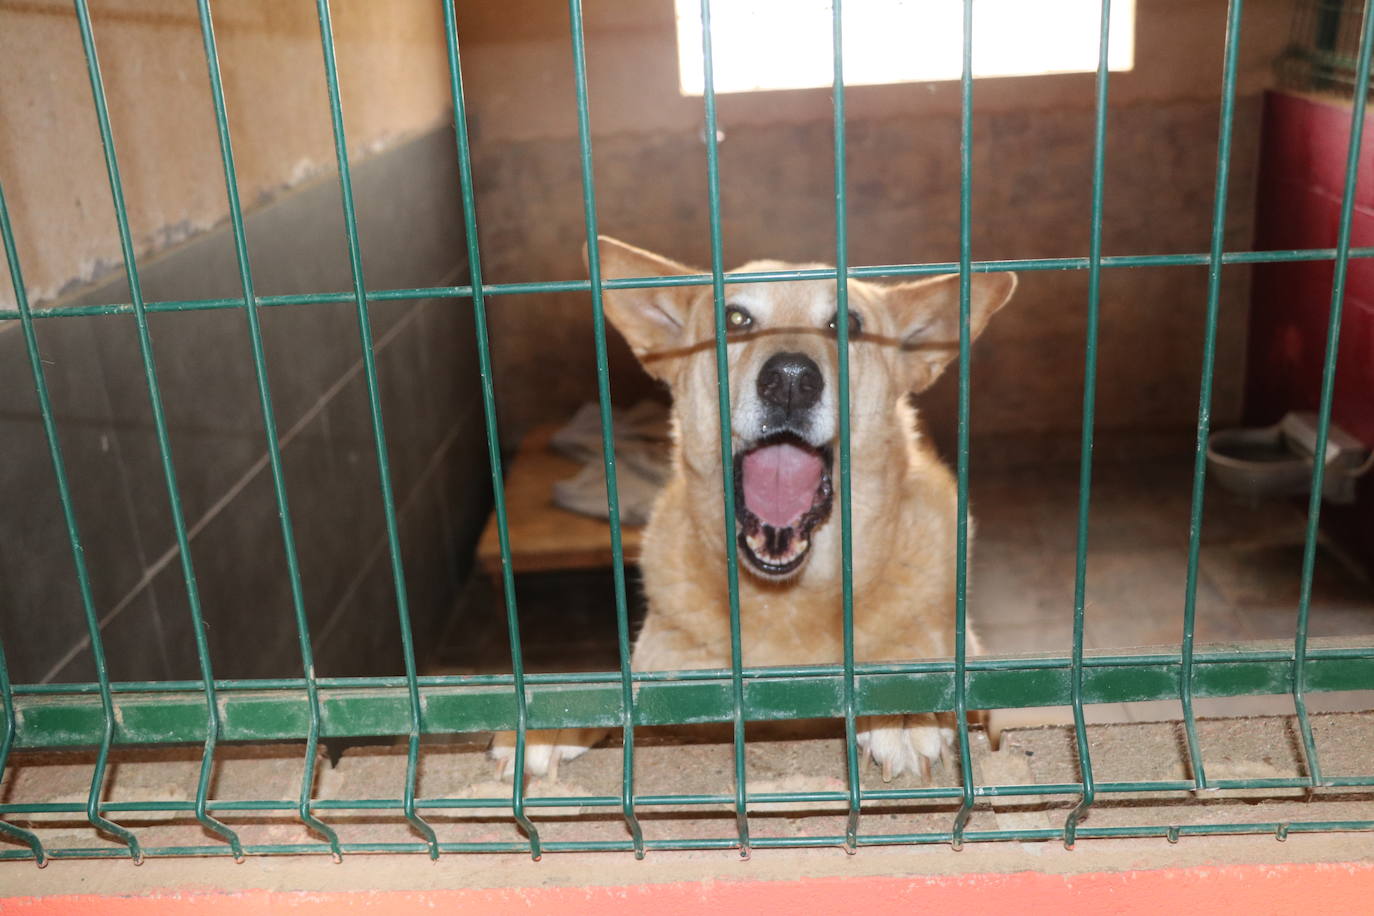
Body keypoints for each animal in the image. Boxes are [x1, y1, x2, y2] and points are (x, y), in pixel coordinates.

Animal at [494, 236, 1022, 780]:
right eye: (735, 318)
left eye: (848, 324)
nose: (790, 379)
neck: (788, 601)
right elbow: (626, 694)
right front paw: (558, 721)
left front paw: (900, 711)